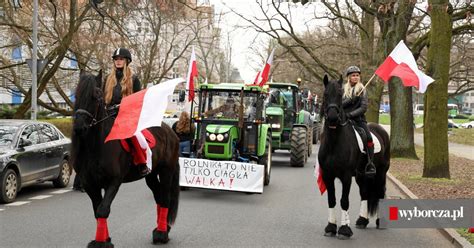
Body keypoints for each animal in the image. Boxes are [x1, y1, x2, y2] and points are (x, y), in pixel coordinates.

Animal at [71, 70, 181, 247]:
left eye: (96, 95)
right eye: (77, 94)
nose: (79, 127)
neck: (97, 146)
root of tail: (170, 131)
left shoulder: (114, 181)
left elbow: (103, 210)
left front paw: (101, 243)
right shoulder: (90, 184)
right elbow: (97, 211)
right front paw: (104, 240)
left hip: (166, 171)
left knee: (164, 199)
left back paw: (161, 234)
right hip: (151, 175)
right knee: (158, 197)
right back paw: (161, 228)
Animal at [318, 74, 388, 239]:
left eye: (339, 95)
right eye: (325, 95)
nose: (332, 117)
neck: (334, 143)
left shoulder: (346, 176)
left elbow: (344, 201)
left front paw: (344, 229)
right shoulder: (327, 175)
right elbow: (332, 200)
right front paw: (331, 227)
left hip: (381, 172)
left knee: (380, 193)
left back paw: (379, 222)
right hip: (361, 175)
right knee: (365, 193)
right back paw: (362, 220)